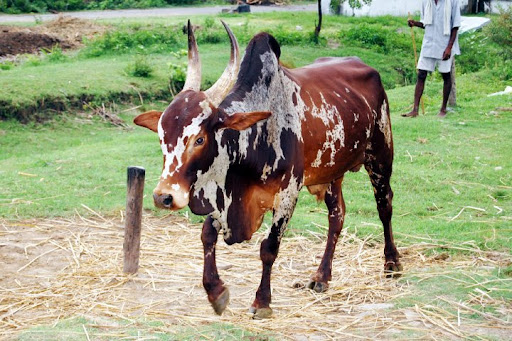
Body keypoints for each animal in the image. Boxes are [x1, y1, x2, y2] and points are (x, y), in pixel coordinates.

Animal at [134, 20, 402, 318]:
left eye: (199, 139)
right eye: (161, 138)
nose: (163, 197)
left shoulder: (287, 195)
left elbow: (268, 248)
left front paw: (262, 302)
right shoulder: (221, 197)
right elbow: (207, 235)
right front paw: (216, 291)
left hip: (380, 156)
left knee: (384, 205)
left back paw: (392, 263)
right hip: (333, 171)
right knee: (337, 215)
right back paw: (322, 276)